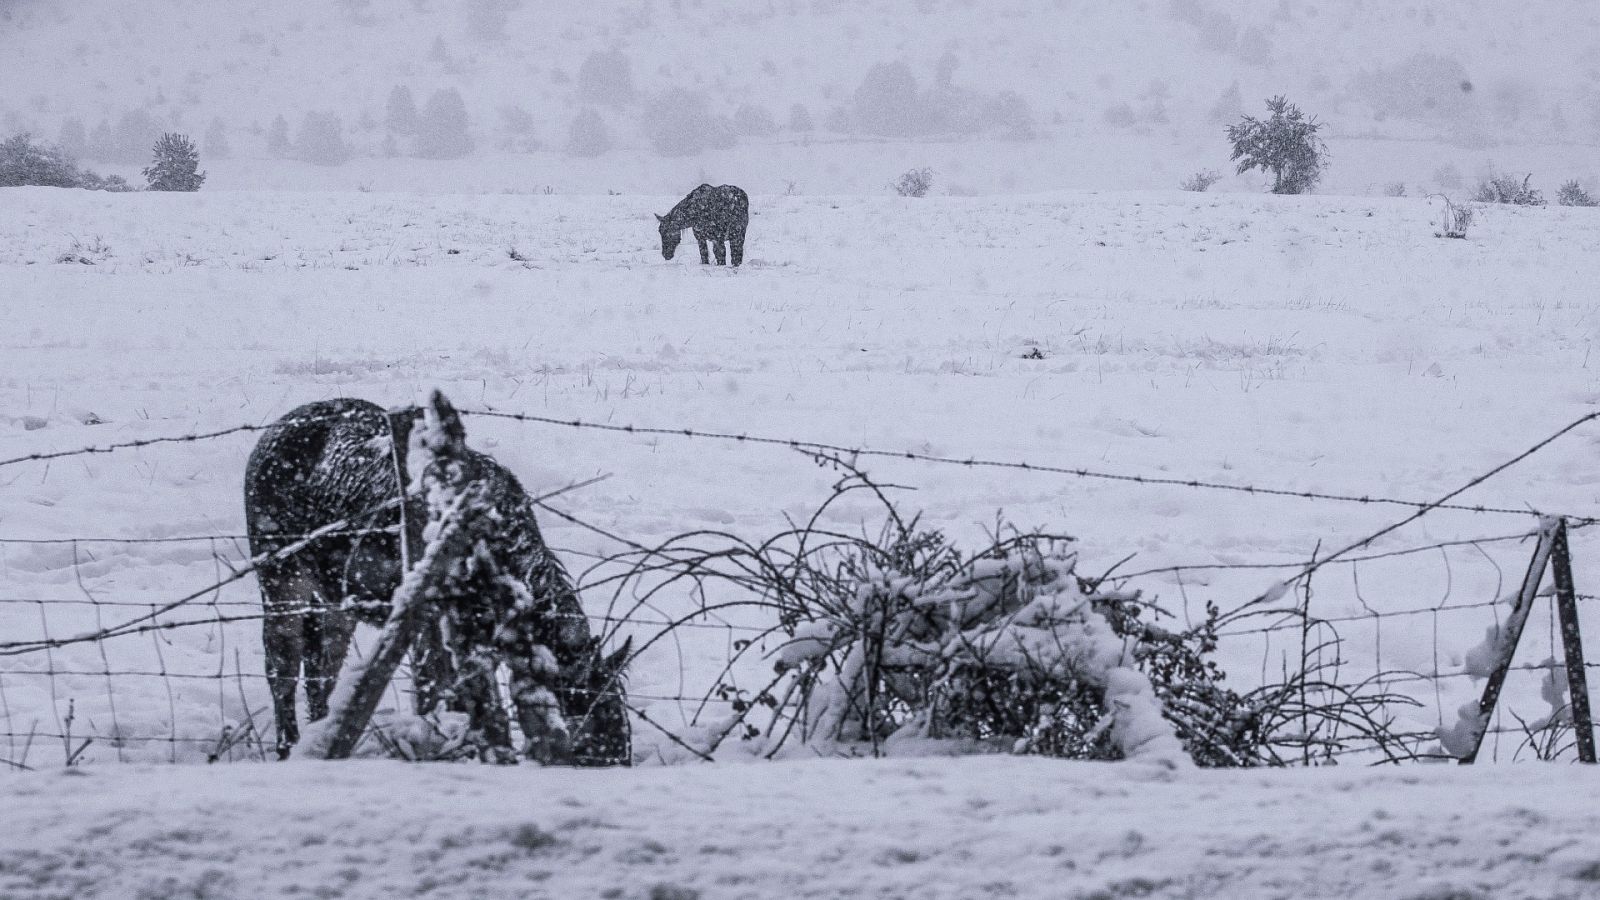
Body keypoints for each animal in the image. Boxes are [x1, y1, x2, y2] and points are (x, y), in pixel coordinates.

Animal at [243, 395, 630, 759]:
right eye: (590, 719)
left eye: (620, 713)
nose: (617, 760)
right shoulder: (427, 629)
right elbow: (438, 691)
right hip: (282, 581)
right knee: (281, 667)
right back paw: (287, 746)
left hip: (335, 602)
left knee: (321, 671)